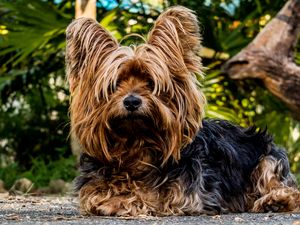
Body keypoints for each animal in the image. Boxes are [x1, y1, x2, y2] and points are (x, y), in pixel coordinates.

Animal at [65, 6, 300, 215]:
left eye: (150, 82)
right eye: (115, 85)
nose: (131, 101)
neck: (136, 143)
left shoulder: (184, 196)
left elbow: (148, 195)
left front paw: (120, 201)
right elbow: (95, 195)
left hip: (269, 158)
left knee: (284, 187)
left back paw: (275, 201)